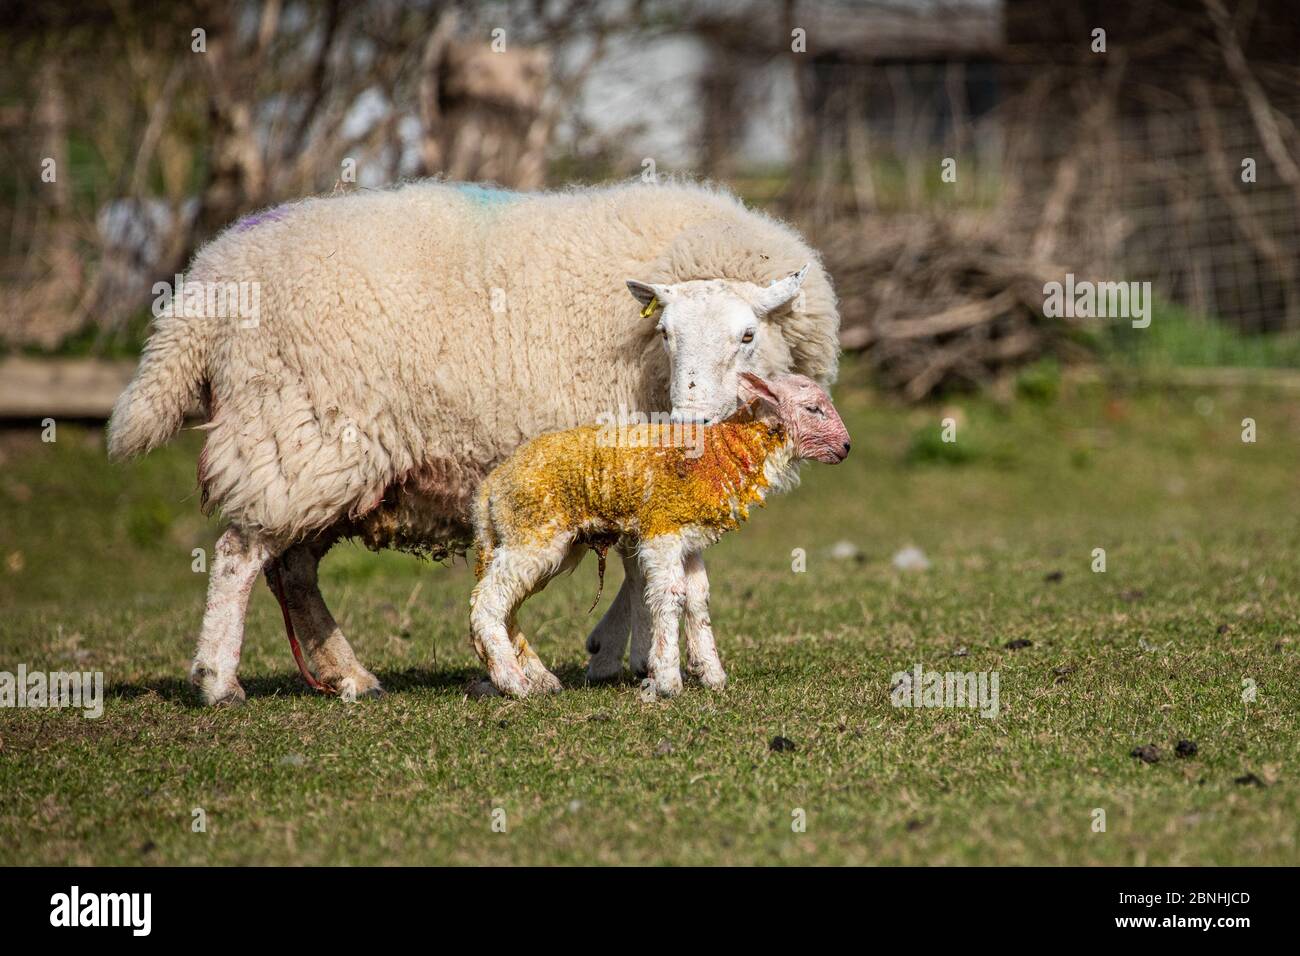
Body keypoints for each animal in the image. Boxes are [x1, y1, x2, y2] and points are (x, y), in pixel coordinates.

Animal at [467, 371, 852, 697]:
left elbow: (698, 598)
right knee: (487, 603)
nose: (847, 446)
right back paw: (513, 682)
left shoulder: (690, 540)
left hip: (531, 539)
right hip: (532, 531)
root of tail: (490, 487)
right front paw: (667, 679)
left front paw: (710, 673)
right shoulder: (662, 529)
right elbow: (671, 595)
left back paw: (538, 678)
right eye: (813, 408)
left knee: (505, 606)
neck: (717, 459)